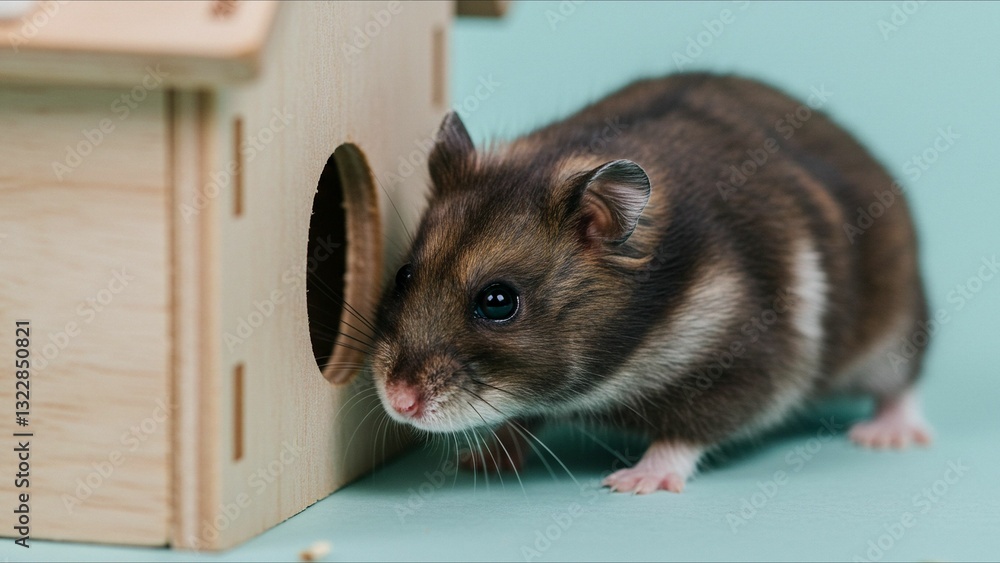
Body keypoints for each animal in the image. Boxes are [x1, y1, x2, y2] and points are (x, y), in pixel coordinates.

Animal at [368, 72, 932, 494]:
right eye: (403, 274)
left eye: (498, 301)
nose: (398, 402)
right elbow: (519, 419)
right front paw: (478, 460)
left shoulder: (748, 366)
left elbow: (688, 431)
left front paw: (633, 483)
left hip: (897, 327)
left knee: (900, 383)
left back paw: (887, 436)